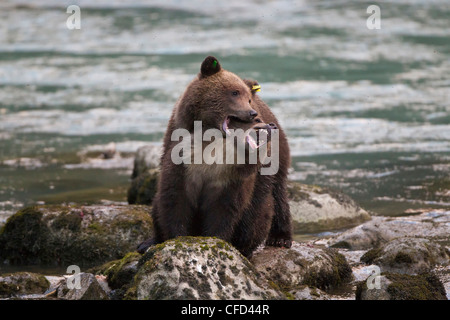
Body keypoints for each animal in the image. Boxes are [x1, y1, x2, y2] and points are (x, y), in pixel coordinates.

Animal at [137, 56, 292, 258]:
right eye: (234, 92)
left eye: (248, 98)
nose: (252, 113)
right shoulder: (183, 162)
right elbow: (174, 199)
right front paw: (176, 237)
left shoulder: (230, 176)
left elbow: (225, 210)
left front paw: (216, 239)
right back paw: (148, 242)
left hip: (274, 164)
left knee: (270, 200)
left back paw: (278, 238)